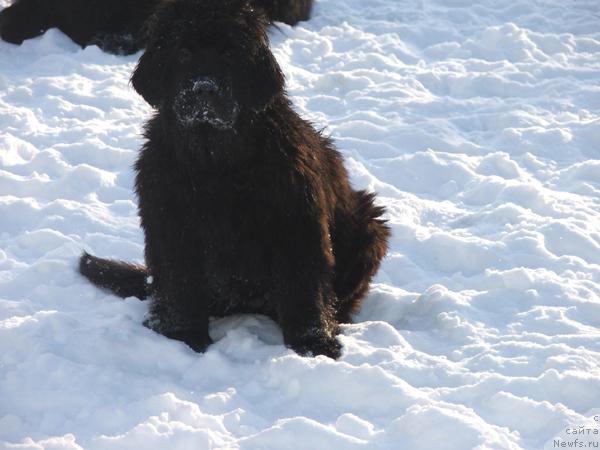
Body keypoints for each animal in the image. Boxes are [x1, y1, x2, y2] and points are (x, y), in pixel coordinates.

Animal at [78, 0, 390, 358]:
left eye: (229, 54)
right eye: (183, 53)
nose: (204, 89)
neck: (215, 160)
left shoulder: (297, 223)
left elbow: (304, 288)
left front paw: (314, 346)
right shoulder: (169, 223)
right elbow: (178, 285)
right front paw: (182, 336)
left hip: (369, 224)